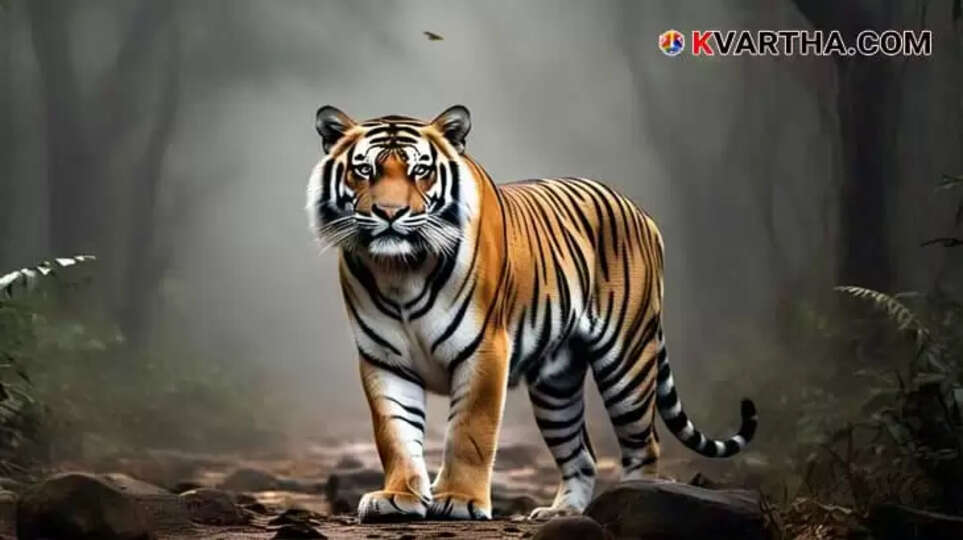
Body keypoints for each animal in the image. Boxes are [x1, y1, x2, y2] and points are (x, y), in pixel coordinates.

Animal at [305, 105, 757, 522]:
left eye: (421, 171)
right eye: (363, 170)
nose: (389, 213)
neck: (400, 270)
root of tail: (640, 211)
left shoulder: (485, 350)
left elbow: (470, 432)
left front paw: (459, 501)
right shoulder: (383, 359)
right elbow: (395, 433)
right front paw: (398, 497)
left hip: (627, 362)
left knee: (644, 444)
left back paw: (633, 500)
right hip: (557, 385)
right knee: (581, 454)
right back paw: (562, 513)